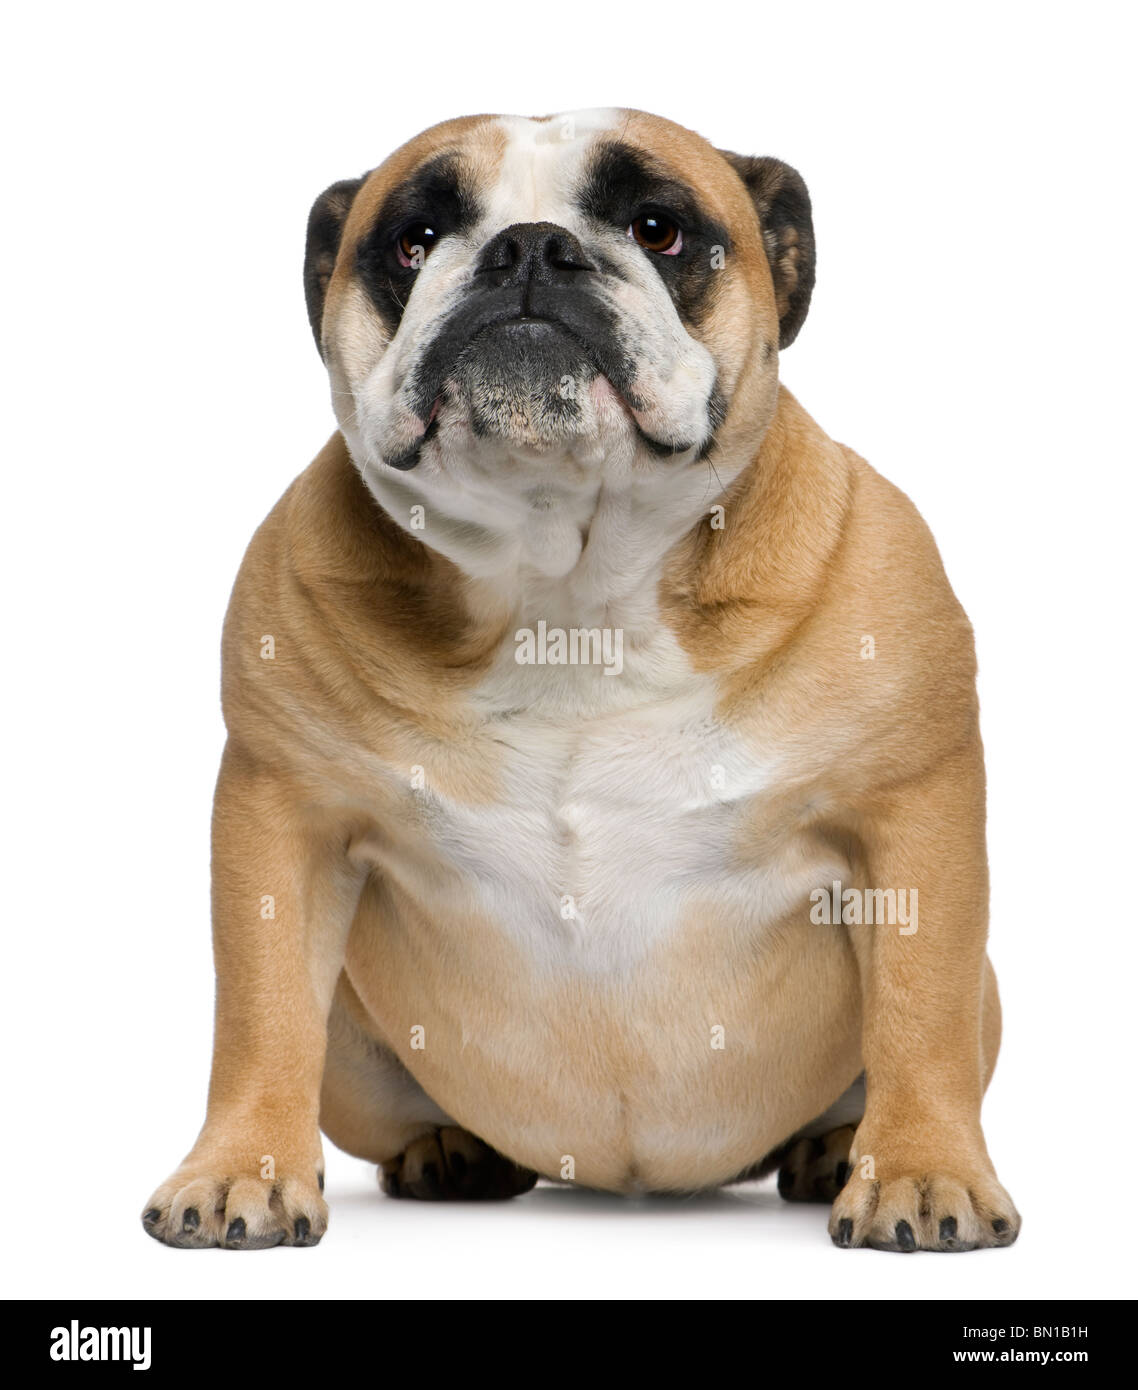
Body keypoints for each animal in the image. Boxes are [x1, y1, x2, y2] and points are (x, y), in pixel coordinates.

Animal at [142, 111, 1022, 1251]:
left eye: (658, 228)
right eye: (414, 241)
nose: (527, 248)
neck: (568, 587)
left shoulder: (909, 812)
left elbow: (920, 1008)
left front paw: (921, 1171)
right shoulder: (283, 812)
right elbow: (260, 1011)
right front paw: (238, 1169)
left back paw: (835, 1148)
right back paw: (449, 1149)